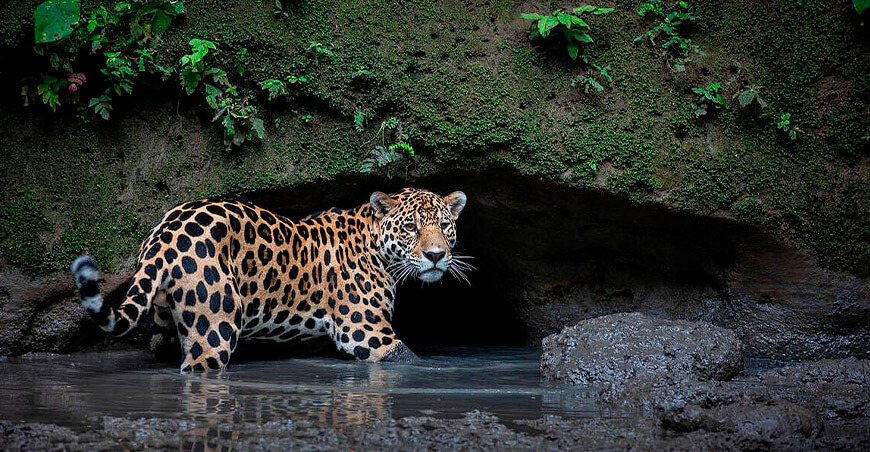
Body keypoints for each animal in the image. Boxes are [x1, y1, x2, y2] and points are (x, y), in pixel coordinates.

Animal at [70, 188, 470, 372]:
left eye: (444, 225)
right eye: (411, 228)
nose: (437, 255)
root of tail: (165, 231)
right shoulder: (369, 335)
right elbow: (411, 360)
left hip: (169, 315)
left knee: (162, 340)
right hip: (215, 328)